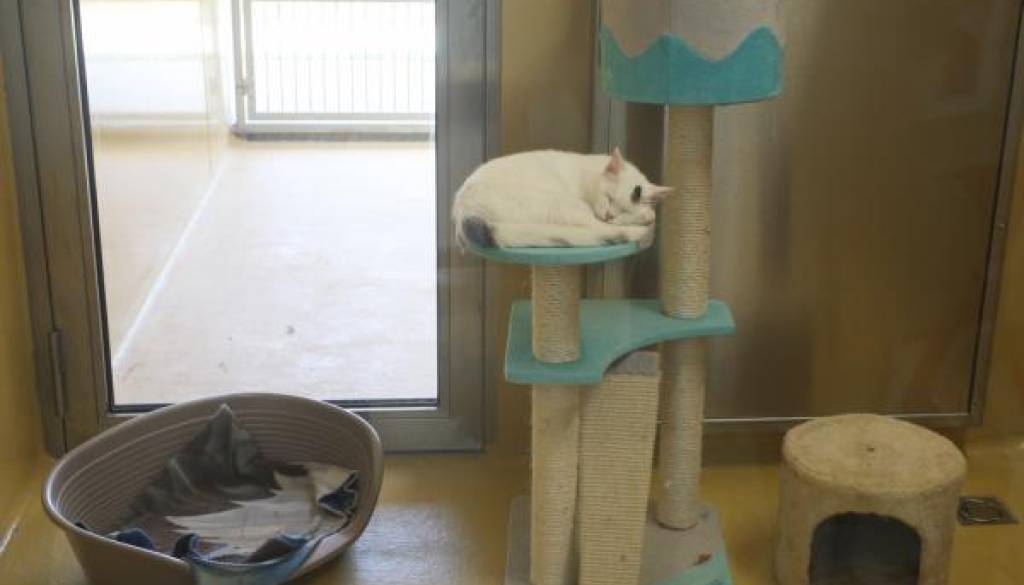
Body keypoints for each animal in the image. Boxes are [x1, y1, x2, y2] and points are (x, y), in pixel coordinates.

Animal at [453, 148, 671, 249]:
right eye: (609, 198)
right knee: (599, 228)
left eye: (625, 211)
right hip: (563, 204)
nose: (609, 215)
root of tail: (465, 213)